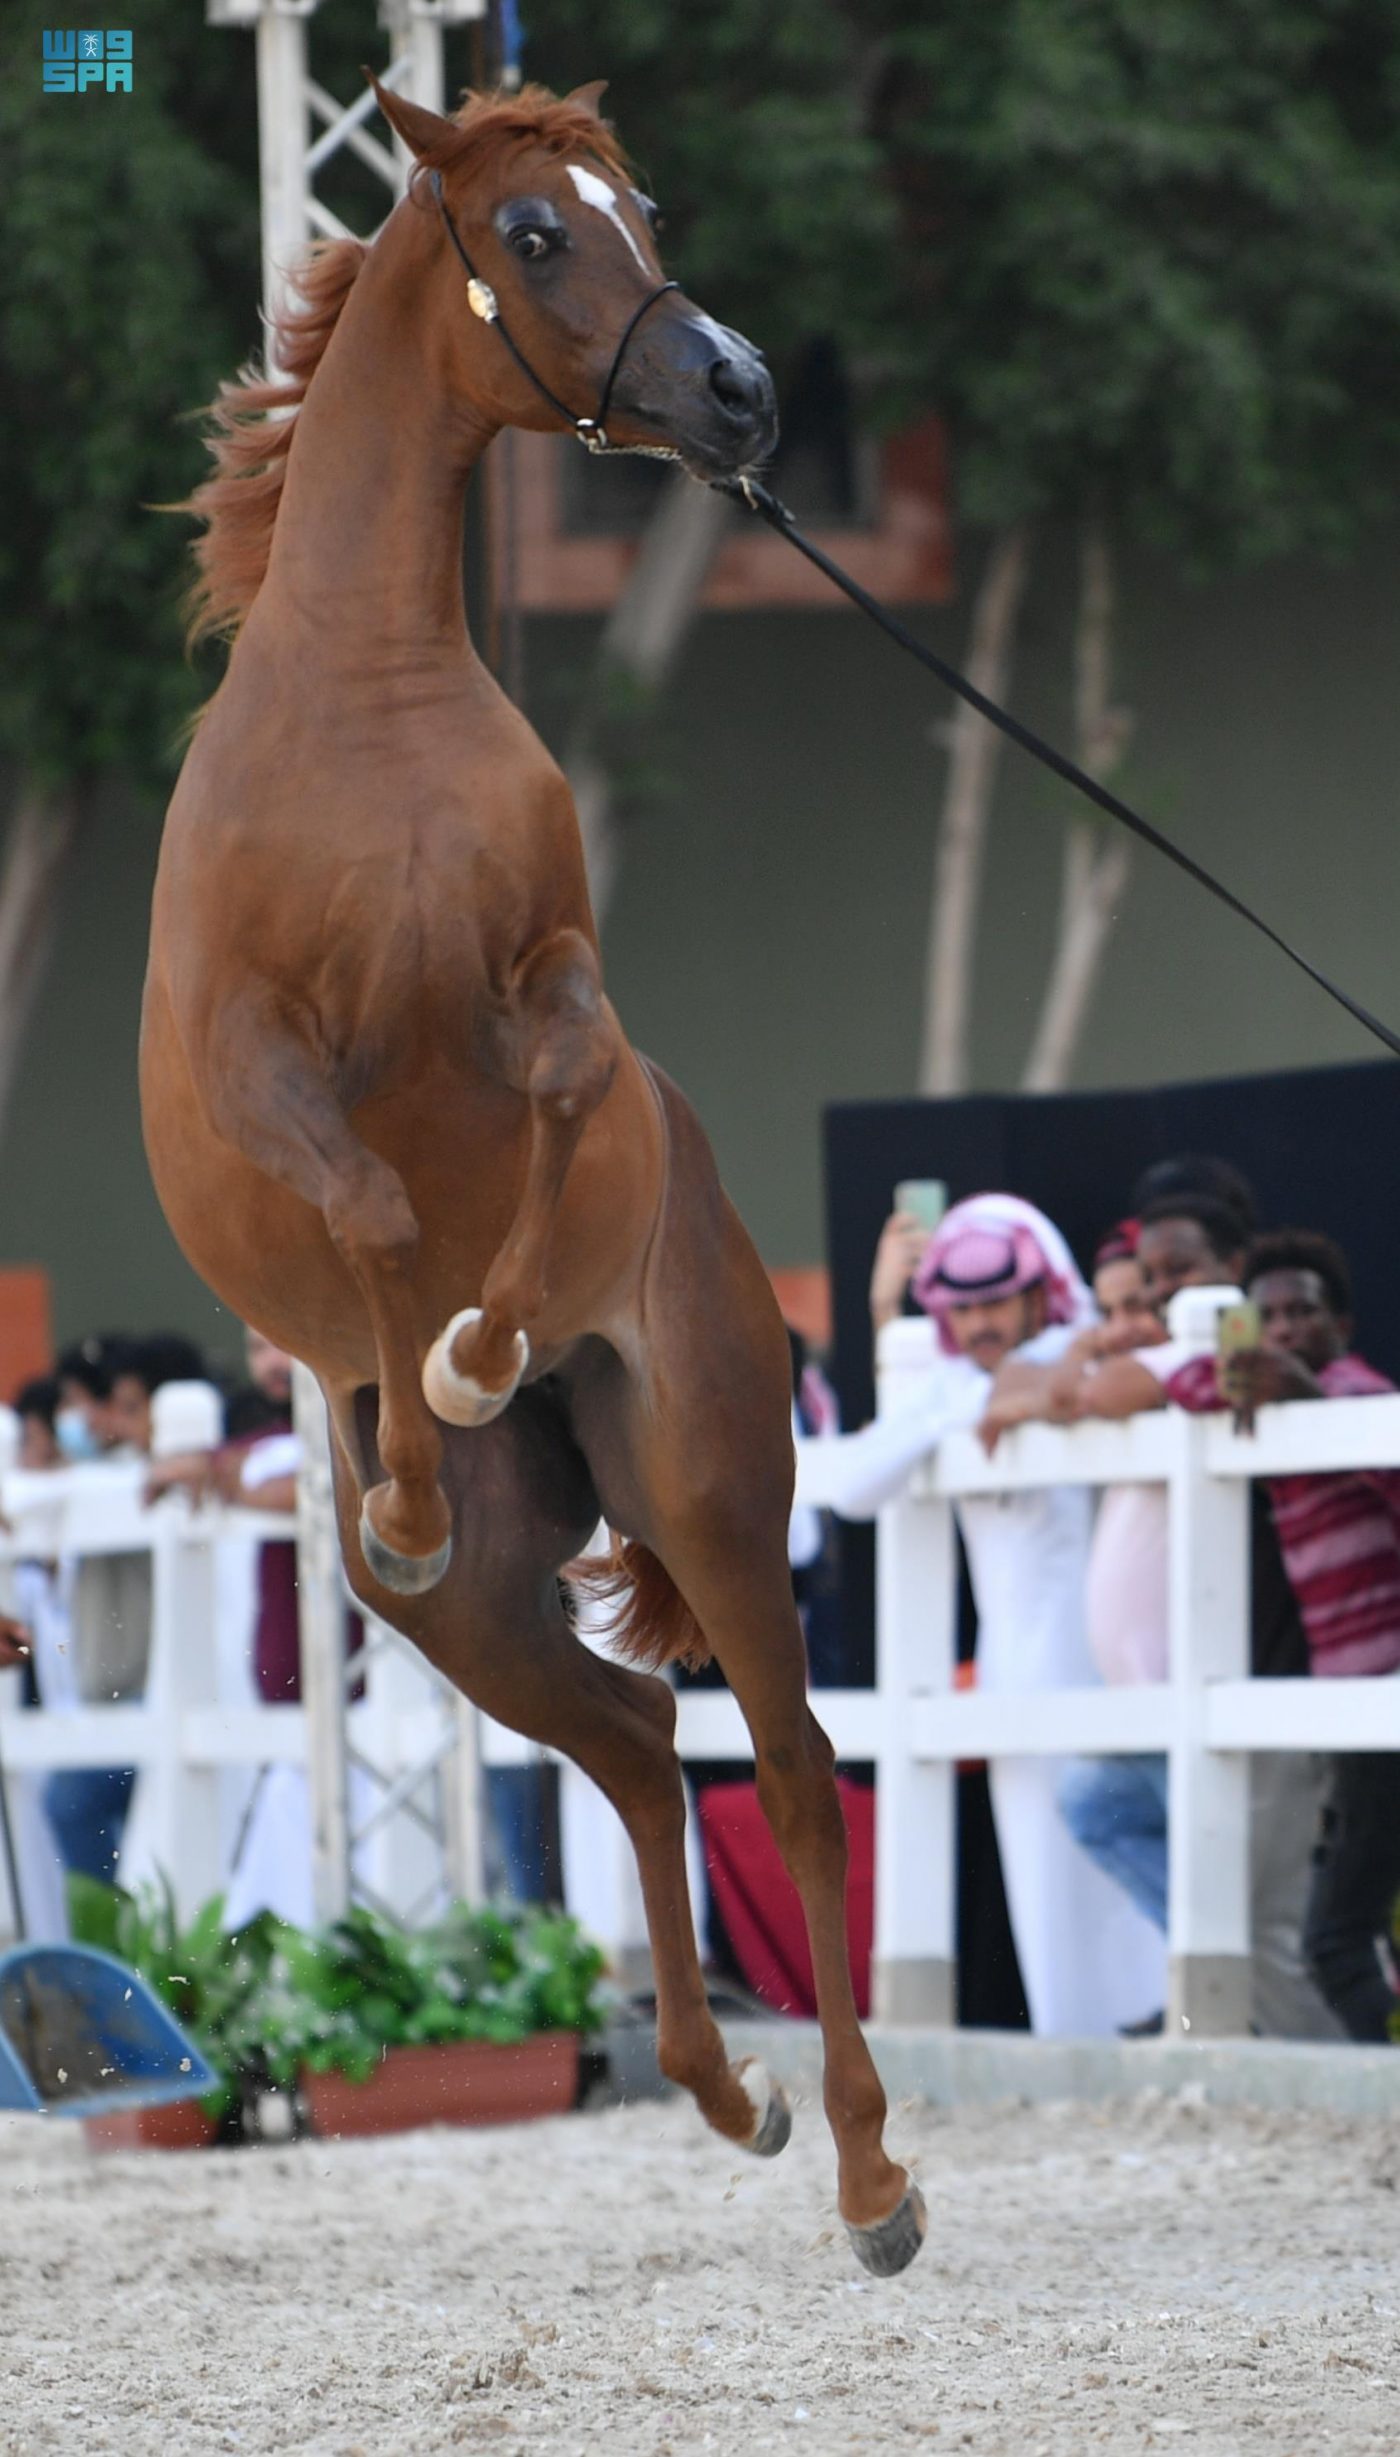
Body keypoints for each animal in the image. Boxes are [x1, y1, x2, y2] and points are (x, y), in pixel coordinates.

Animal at [142, 79, 924, 2278]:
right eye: (535, 230)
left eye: (636, 200)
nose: (740, 391)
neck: (367, 705)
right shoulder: (256, 1058)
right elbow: (372, 1209)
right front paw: (416, 1434)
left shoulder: (545, 976)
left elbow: (562, 1093)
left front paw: (481, 1344)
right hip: (481, 1621)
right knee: (642, 1747)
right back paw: (730, 2094)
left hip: (710, 1482)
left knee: (793, 1773)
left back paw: (866, 2171)